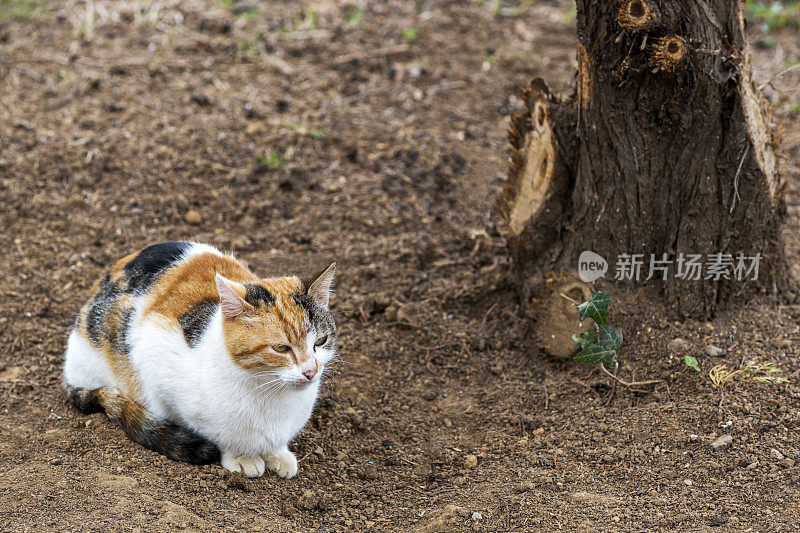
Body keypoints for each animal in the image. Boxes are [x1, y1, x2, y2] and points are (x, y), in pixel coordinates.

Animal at [63, 242, 334, 478]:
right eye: (281, 348)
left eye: (321, 341)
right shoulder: (154, 358)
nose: (311, 371)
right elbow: (214, 433)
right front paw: (241, 457)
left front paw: (277, 454)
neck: (269, 392)